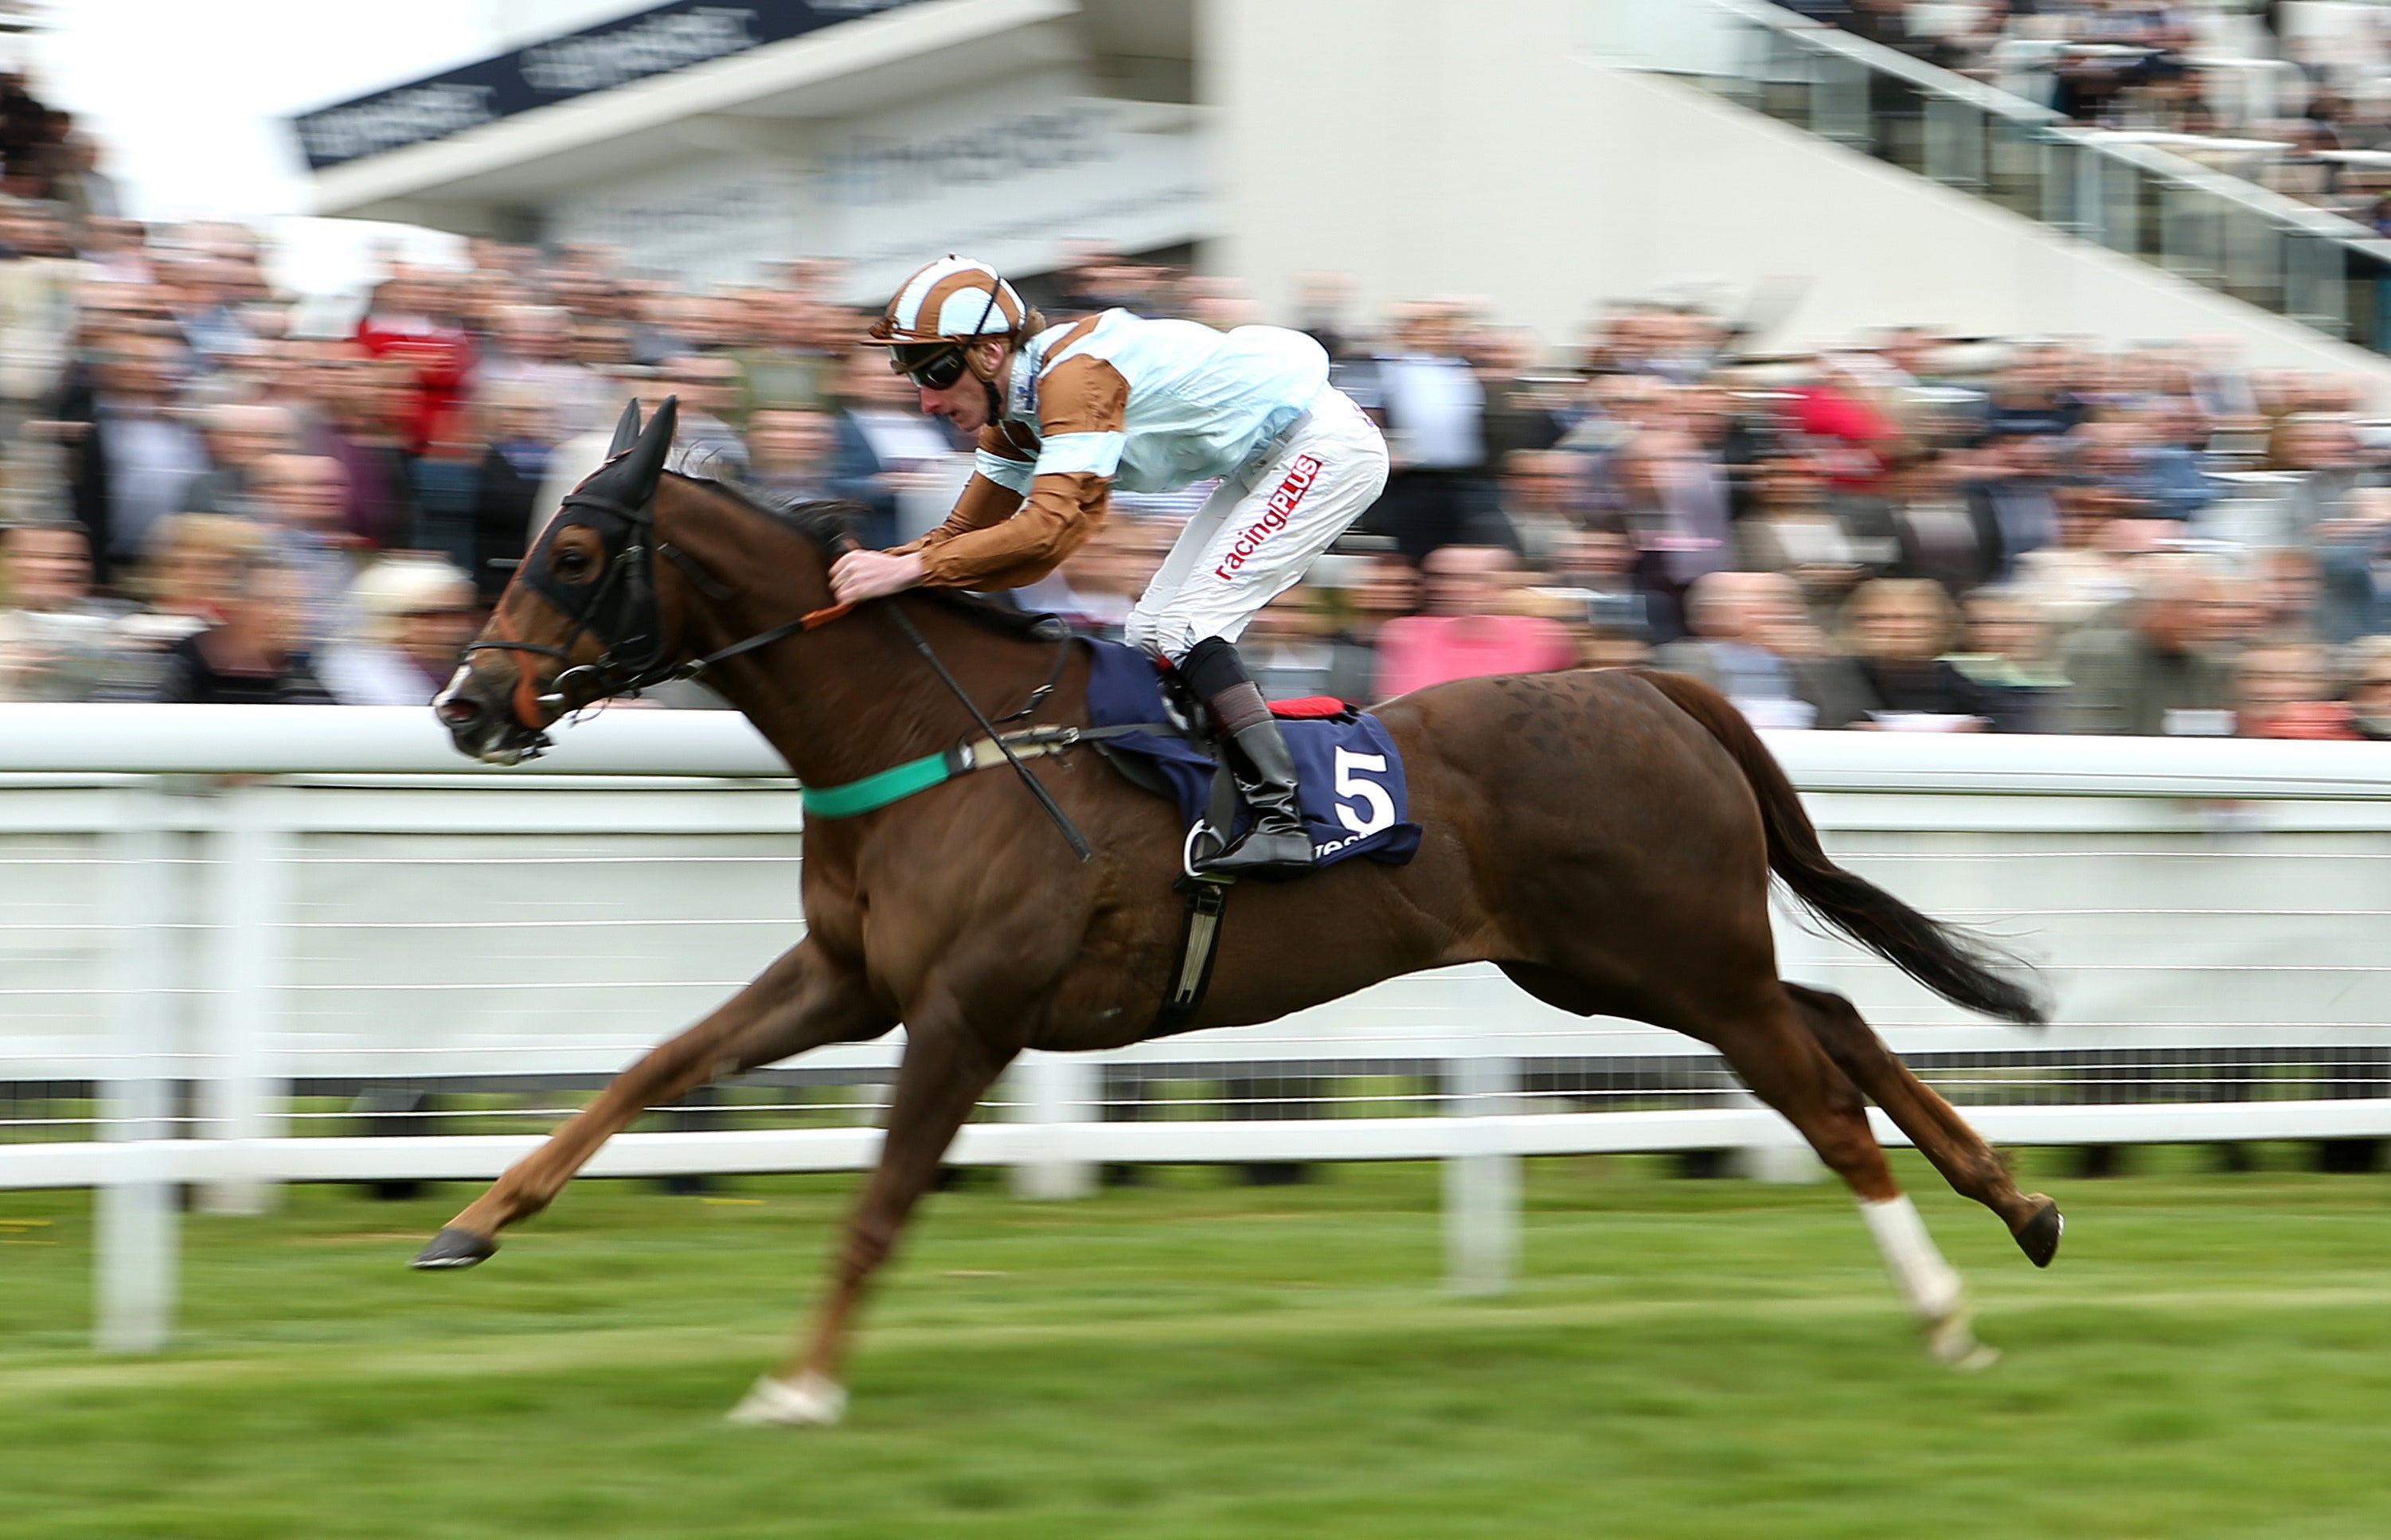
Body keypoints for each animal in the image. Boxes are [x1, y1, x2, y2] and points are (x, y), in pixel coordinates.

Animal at [425, 404, 2056, 1425]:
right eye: (522, 543)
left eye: (576, 555)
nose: (464, 705)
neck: (932, 728)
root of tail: (1651, 680)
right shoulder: (851, 977)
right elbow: (655, 1064)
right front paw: (473, 1221)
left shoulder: (964, 1011)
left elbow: (878, 1200)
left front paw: (795, 1382)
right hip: (1606, 966)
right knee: (1834, 1016)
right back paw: (2020, 1204)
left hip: (1671, 953)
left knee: (1816, 1091)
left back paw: (1944, 1308)